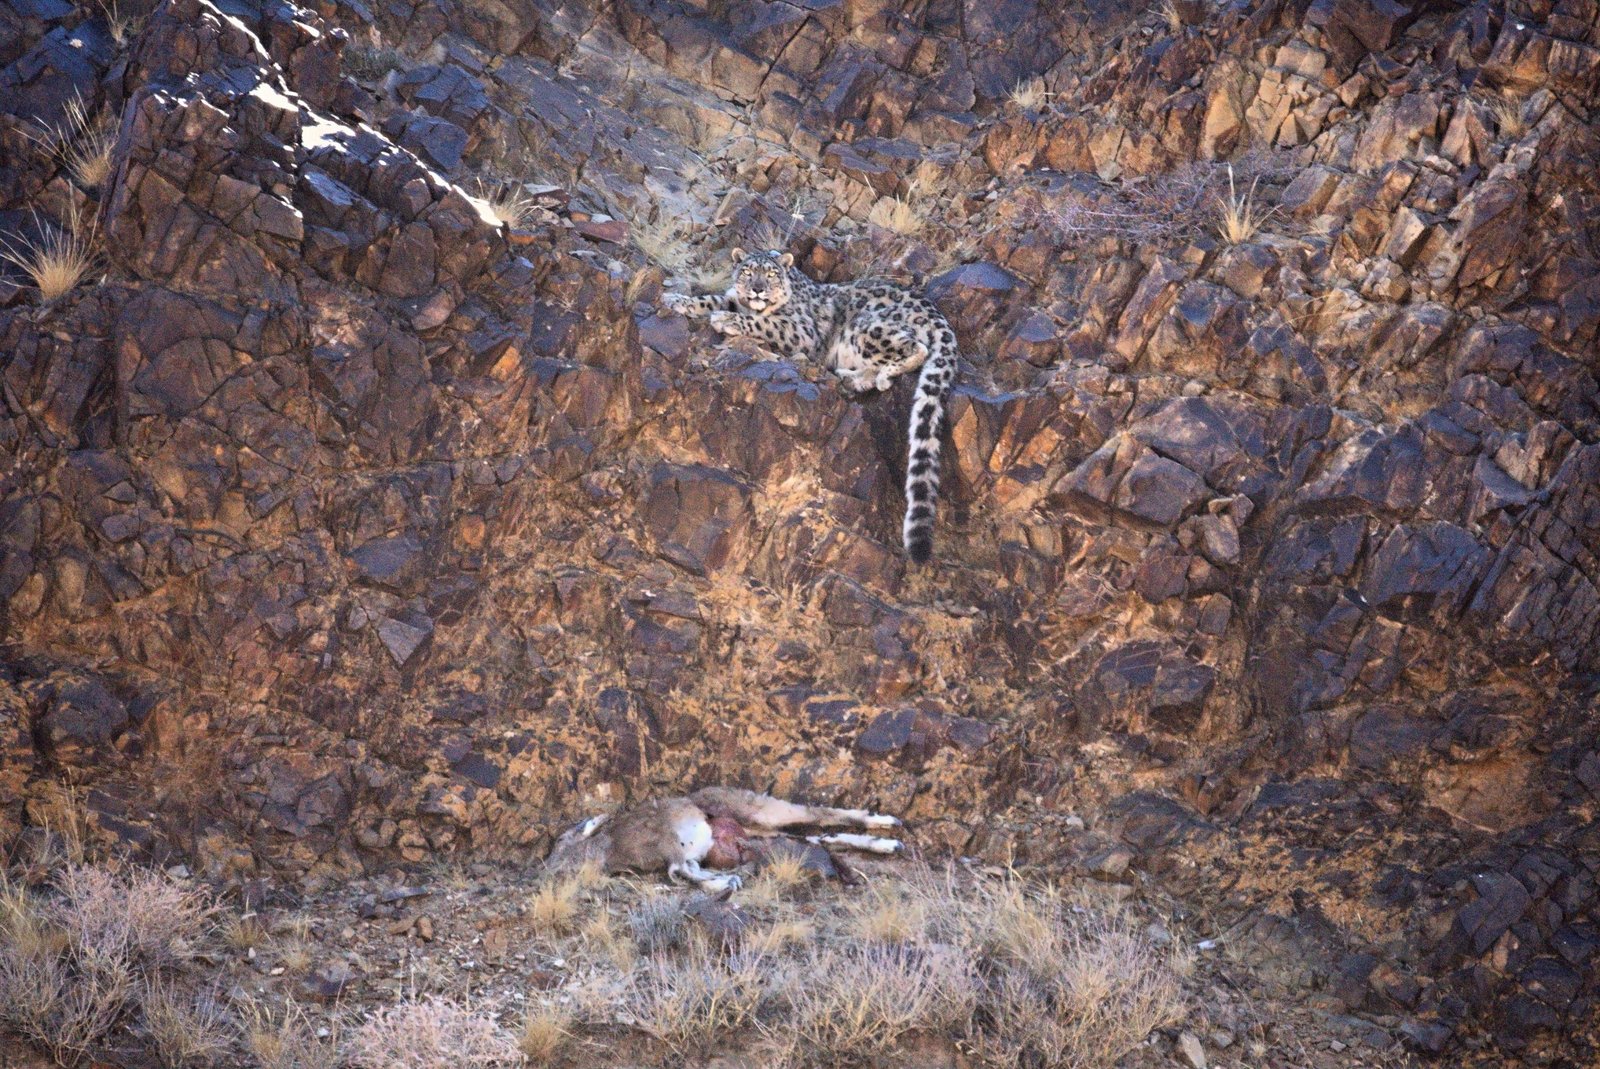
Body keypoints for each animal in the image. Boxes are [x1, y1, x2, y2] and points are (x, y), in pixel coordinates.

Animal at [661, 248, 957, 564]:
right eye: (748, 271)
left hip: (866, 327)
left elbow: (763, 322)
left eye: (770, 274)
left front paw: (724, 320)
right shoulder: (734, 297)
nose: (757, 289)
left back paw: (877, 375)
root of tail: (937, 314)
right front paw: (676, 300)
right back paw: (852, 378)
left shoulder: (799, 330)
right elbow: (713, 298)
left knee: (917, 348)